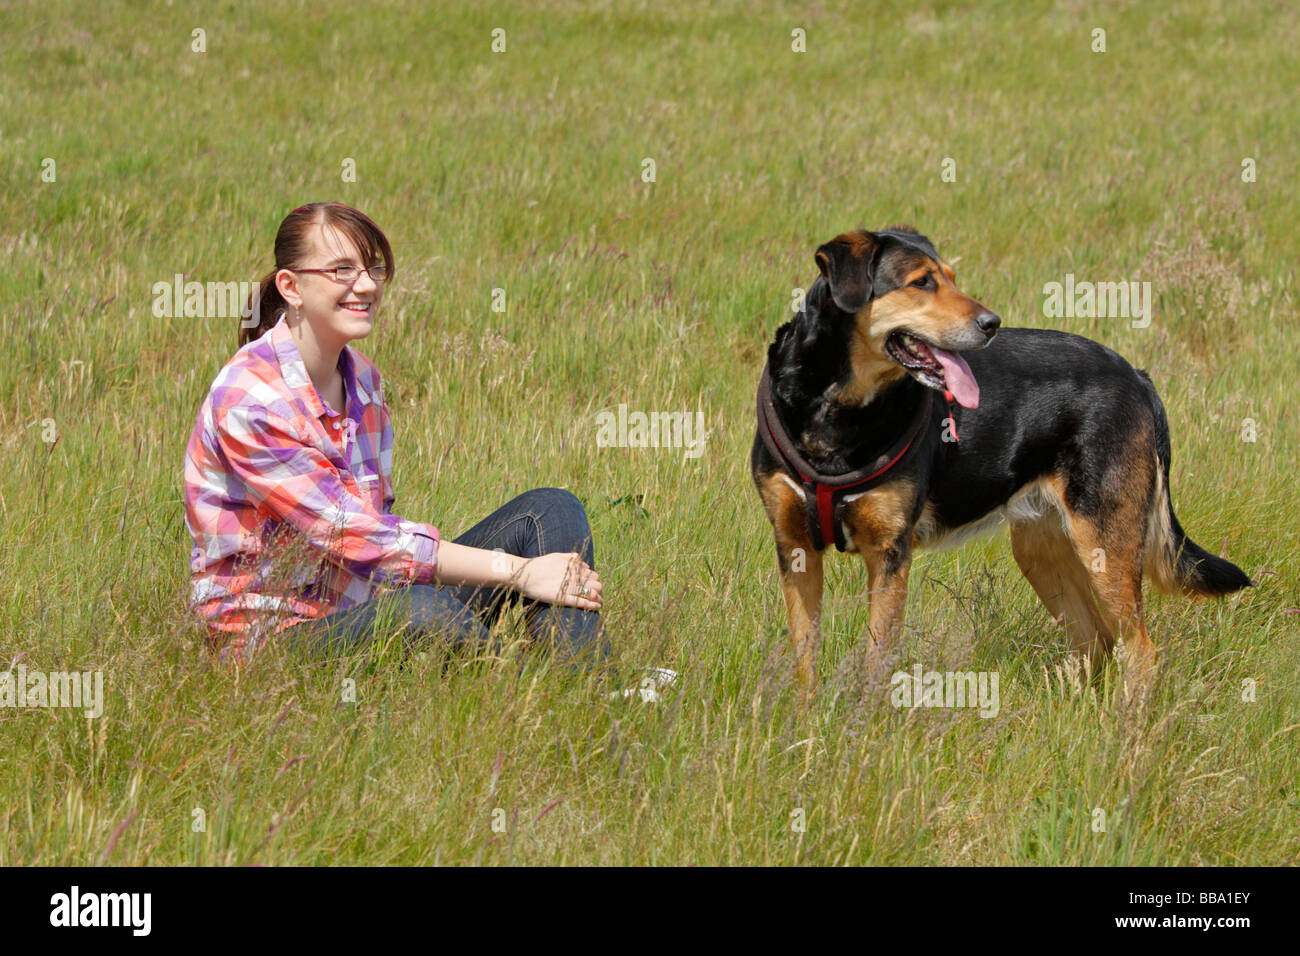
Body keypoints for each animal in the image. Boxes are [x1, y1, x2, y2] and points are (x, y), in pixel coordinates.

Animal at [754, 225, 1248, 702]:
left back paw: (1127, 727)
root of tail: (1138, 377)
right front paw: (805, 723)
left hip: (1106, 543)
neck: (835, 405)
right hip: (1043, 550)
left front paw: (866, 725)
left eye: (952, 278)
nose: (992, 323)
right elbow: (805, 657)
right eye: (922, 282)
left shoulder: (889, 554)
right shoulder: (795, 548)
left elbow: (876, 660)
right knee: (1096, 639)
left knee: (1141, 650)